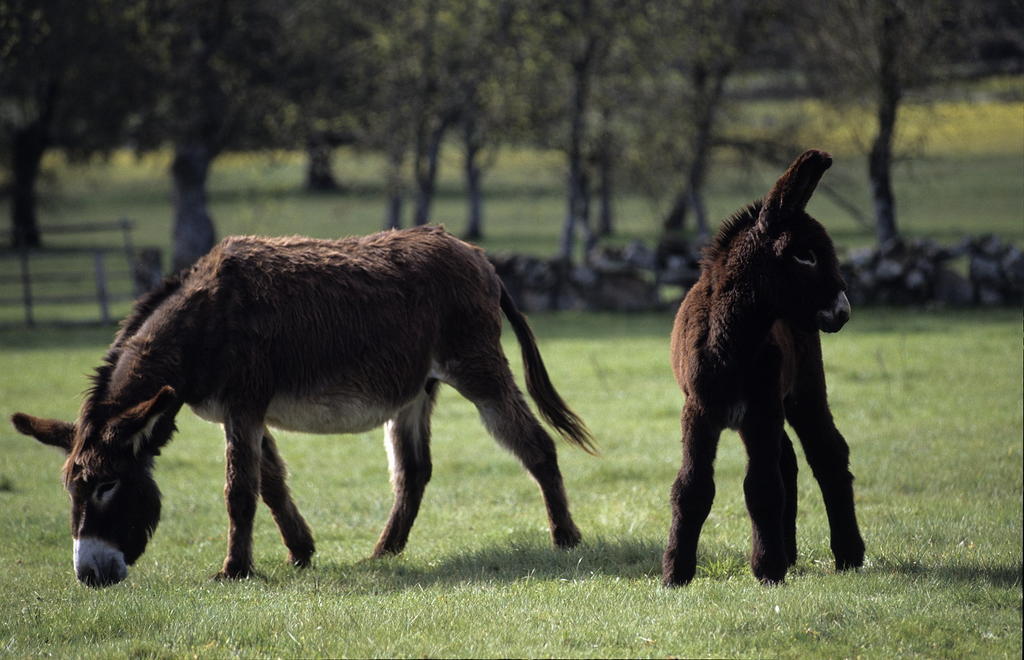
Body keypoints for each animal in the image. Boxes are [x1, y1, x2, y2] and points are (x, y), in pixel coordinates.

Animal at [14, 225, 593, 581]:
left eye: (108, 486)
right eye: (71, 489)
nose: (89, 577)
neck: (202, 324)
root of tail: (478, 256)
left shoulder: (244, 405)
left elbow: (239, 491)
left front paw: (234, 571)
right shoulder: (240, 411)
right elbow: (270, 483)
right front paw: (300, 551)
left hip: (476, 368)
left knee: (535, 445)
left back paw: (566, 538)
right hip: (414, 391)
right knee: (414, 472)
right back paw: (383, 552)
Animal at [663, 150, 864, 585]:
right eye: (804, 255)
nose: (843, 312)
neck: (731, 343)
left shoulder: (761, 411)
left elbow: (761, 488)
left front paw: (768, 570)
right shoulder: (700, 412)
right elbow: (693, 488)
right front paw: (675, 573)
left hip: (803, 390)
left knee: (827, 453)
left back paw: (848, 554)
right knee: (788, 461)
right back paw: (790, 552)